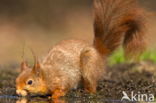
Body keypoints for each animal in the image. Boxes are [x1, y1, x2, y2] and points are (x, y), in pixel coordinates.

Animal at [15, 0, 146, 99]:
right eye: (16, 80)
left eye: (30, 82)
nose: (17, 91)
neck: (46, 75)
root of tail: (99, 53)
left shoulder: (61, 77)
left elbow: (64, 86)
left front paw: (56, 95)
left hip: (89, 63)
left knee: (92, 85)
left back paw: (87, 91)